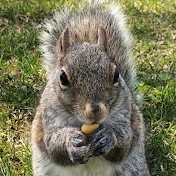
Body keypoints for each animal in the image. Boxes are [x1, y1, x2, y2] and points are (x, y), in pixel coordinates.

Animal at [31, 0, 150, 175]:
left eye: (116, 74)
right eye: (62, 77)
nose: (95, 112)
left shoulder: (124, 112)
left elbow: (124, 141)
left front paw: (109, 136)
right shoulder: (49, 117)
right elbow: (53, 144)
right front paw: (71, 141)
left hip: (133, 168)